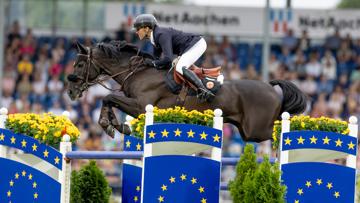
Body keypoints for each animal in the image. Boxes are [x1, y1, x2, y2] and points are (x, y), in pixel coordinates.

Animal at [65, 40, 306, 143]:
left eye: (80, 64)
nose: (70, 92)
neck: (138, 71)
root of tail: (271, 88)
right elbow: (109, 100)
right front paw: (114, 125)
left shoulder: (142, 106)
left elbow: (109, 97)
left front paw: (111, 125)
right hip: (249, 131)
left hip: (257, 130)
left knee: (282, 130)